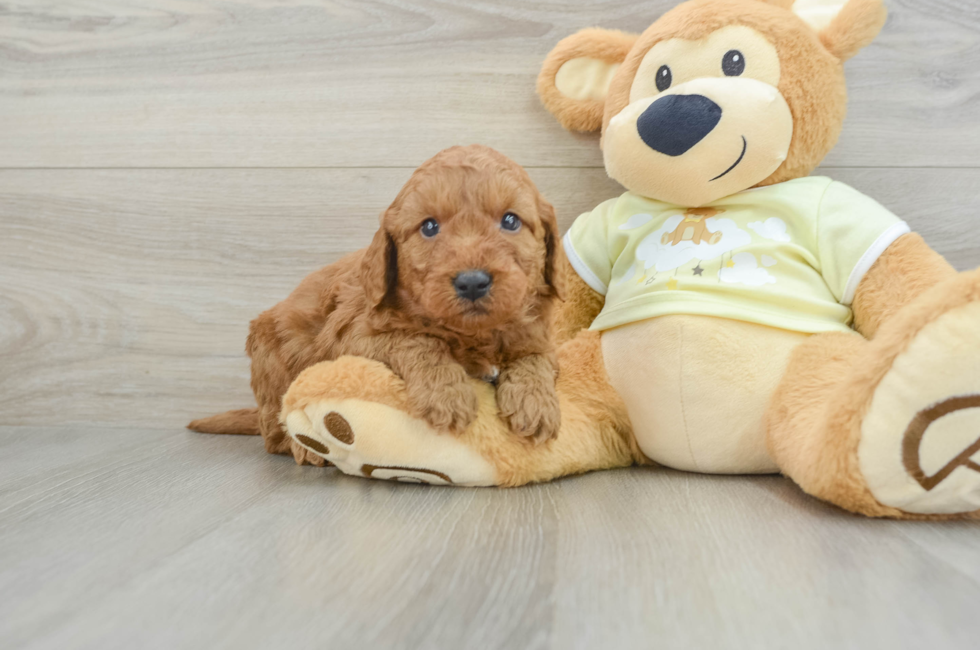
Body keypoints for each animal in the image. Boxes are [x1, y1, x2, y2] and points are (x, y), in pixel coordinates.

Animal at [188, 144, 564, 464]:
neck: (473, 333)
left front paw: (535, 403)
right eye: (429, 227)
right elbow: (418, 340)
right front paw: (446, 393)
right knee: (275, 426)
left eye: (511, 221)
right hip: (271, 361)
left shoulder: (540, 339)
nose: (472, 281)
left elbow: (536, 359)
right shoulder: (353, 335)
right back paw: (305, 447)